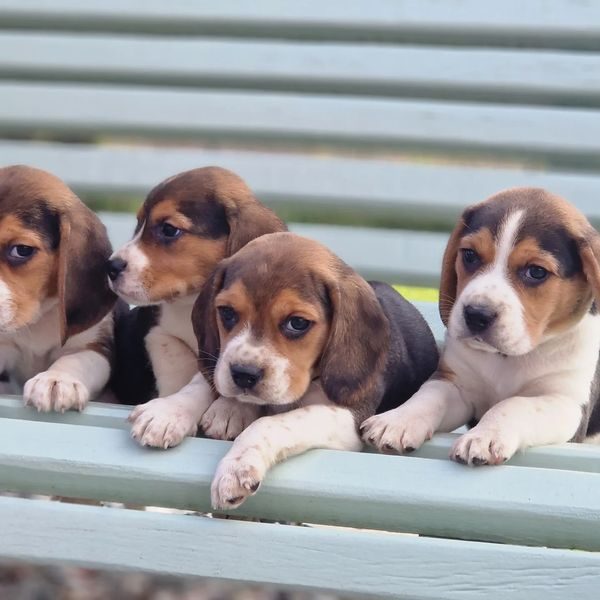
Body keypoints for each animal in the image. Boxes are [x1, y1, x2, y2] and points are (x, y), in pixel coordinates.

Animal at [108, 166, 286, 448]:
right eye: (138, 224)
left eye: (169, 229)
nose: (110, 267)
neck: (189, 302)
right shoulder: (158, 334)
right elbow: (181, 364)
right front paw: (170, 411)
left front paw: (230, 409)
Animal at [195, 232, 438, 508]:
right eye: (226, 312)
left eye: (297, 323)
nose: (243, 374)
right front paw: (229, 409)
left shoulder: (349, 417)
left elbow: (272, 423)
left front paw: (236, 467)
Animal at [360, 188, 600, 464]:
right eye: (470, 255)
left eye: (537, 272)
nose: (476, 315)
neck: (508, 358)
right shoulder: (455, 383)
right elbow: (428, 396)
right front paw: (397, 420)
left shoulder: (567, 404)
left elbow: (514, 404)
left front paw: (485, 436)